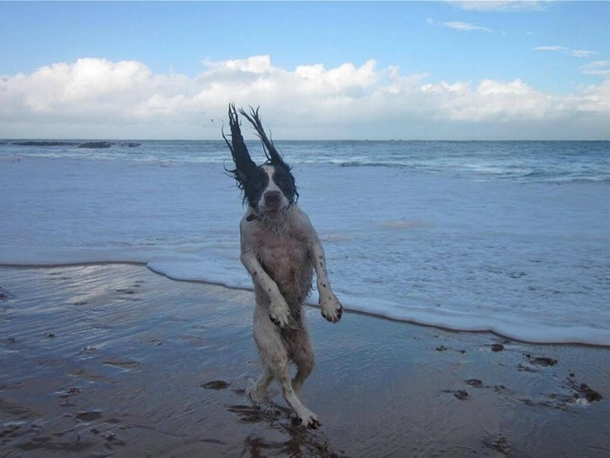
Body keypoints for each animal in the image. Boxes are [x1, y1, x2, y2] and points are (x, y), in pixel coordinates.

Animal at [223, 105, 342, 428]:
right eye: (257, 183)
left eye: (283, 180)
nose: (273, 195)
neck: (276, 224)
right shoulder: (248, 255)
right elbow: (266, 280)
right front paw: (279, 309)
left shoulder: (312, 242)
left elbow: (323, 275)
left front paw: (329, 305)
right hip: (272, 346)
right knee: (285, 385)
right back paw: (302, 413)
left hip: (306, 353)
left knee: (294, 381)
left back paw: (294, 408)